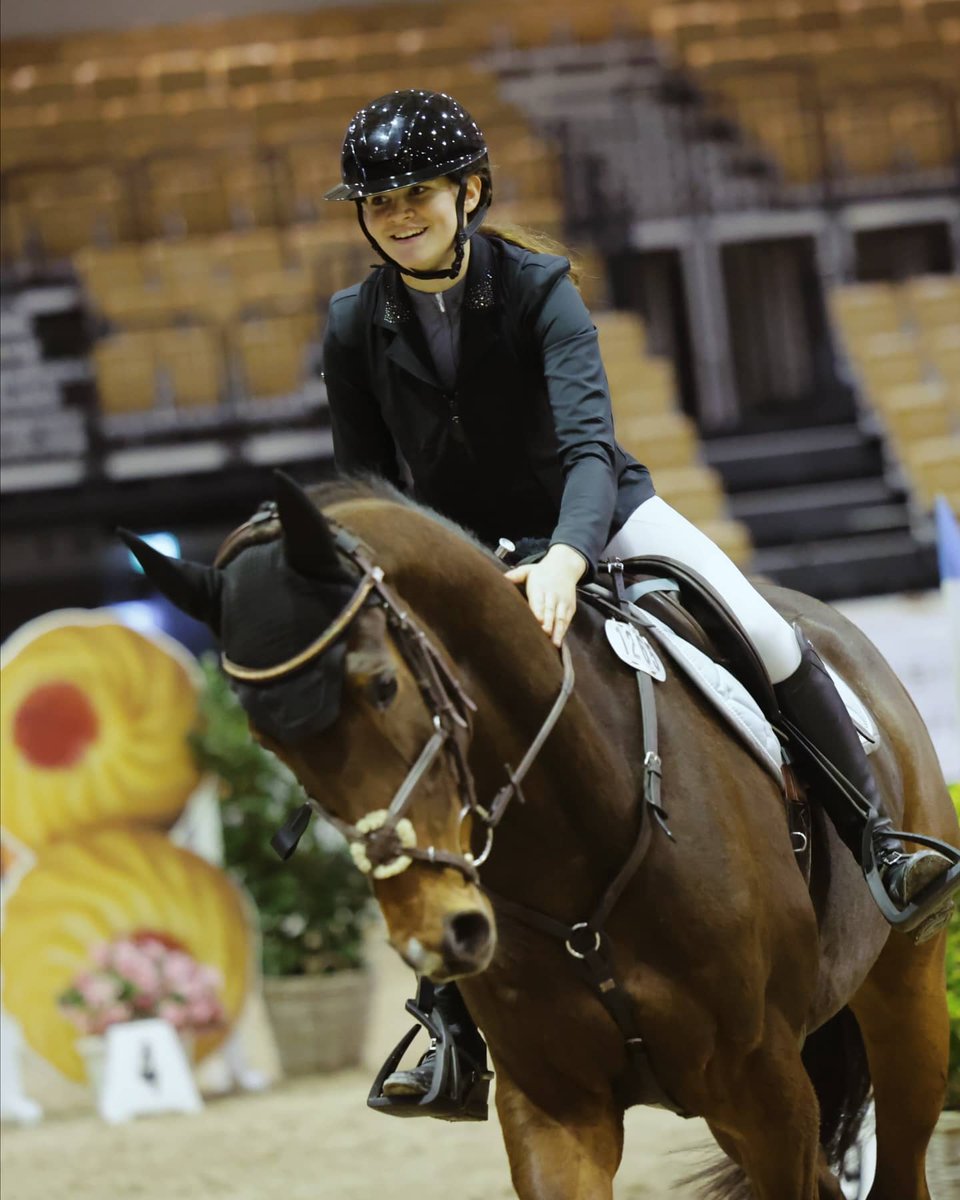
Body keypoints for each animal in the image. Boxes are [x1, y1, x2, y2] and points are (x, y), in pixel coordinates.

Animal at [122, 473, 959, 1200]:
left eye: (382, 686)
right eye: (266, 739)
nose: (437, 932)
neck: (577, 843)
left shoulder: (768, 1088)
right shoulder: (556, 1113)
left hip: (904, 997)